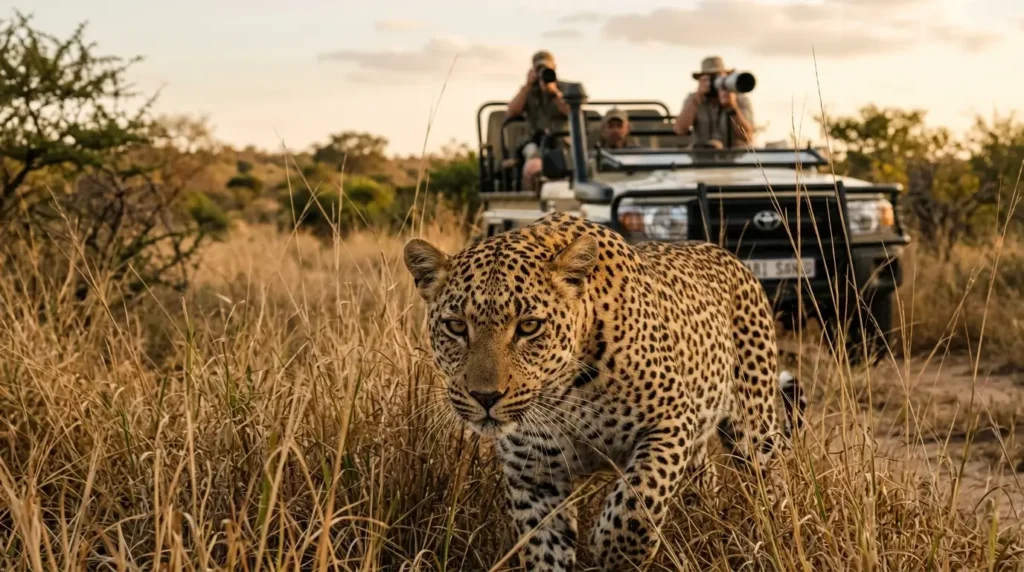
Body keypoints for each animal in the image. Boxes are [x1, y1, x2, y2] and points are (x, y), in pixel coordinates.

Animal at [403, 211, 805, 571]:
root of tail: (725, 254)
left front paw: (614, 551)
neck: (561, 394)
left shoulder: (672, 419)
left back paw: (777, 529)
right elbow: (545, 549)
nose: (486, 397)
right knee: (703, 479)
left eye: (529, 327)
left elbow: (640, 498)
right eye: (456, 326)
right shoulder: (534, 476)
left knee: (773, 472)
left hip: (752, 423)